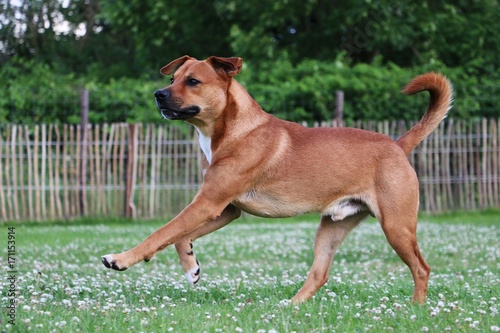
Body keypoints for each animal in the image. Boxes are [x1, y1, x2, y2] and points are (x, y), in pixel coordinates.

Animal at [102, 56, 454, 304]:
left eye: (192, 81)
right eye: (172, 78)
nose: (158, 94)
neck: (234, 130)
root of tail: (397, 145)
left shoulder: (208, 204)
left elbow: (160, 233)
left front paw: (121, 259)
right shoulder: (224, 209)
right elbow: (177, 236)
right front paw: (191, 267)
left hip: (396, 227)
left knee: (421, 268)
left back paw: (416, 307)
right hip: (333, 227)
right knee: (320, 274)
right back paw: (291, 306)